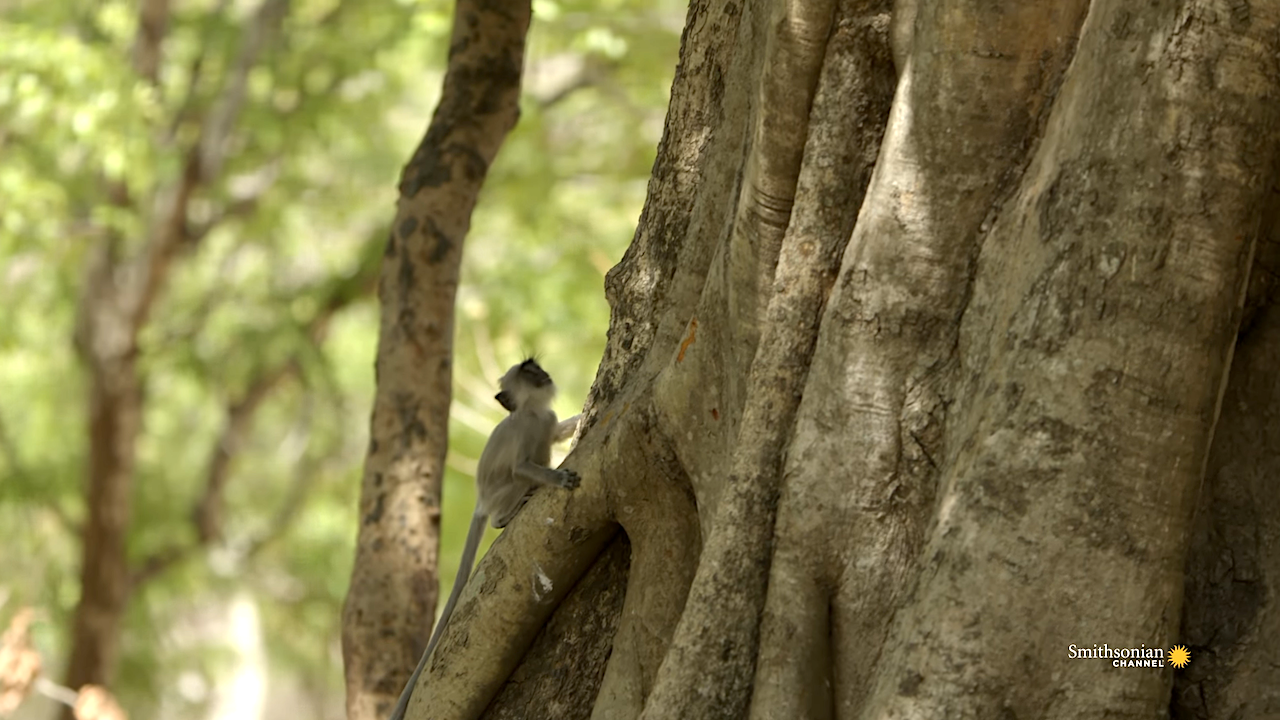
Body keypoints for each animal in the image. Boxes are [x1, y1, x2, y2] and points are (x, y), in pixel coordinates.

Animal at [386, 356, 583, 717]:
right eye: (528, 372)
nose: (543, 374)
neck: (532, 412)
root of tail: (481, 502)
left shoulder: (545, 419)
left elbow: (557, 432)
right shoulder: (524, 429)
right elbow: (522, 467)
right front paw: (558, 479)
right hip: (500, 494)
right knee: (517, 481)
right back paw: (506, 515)